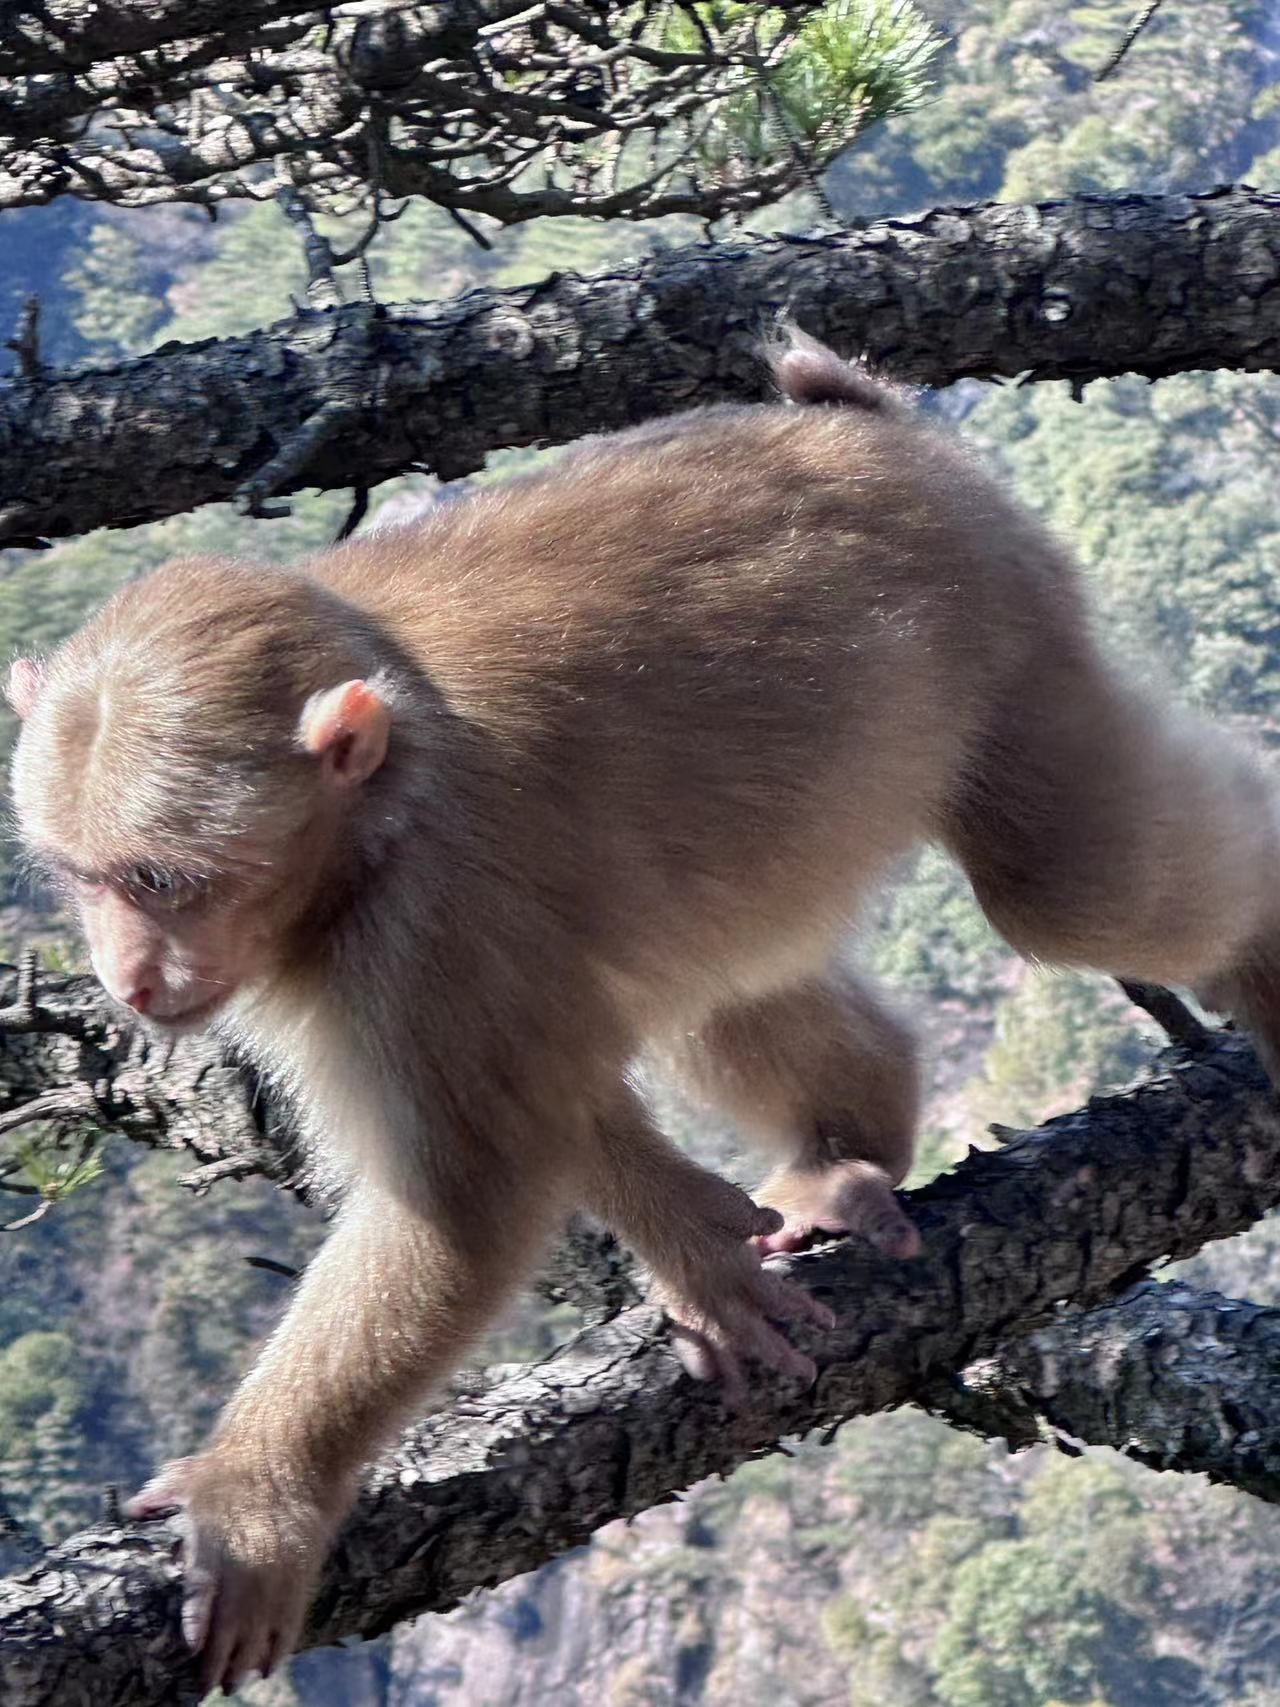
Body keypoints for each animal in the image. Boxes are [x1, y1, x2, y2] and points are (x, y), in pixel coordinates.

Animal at [8, 328, 1280, 1692]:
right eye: (81, 876)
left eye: (162, 881)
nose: (131, 980)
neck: (368, 815)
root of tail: (858, 425)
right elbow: (559, 1098)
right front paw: (692, 1244)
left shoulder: (430, 919)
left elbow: (468, 1196)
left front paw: (260, 1495)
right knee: (704, 978)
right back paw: (849, 1143)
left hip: (1006, 617)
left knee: (1061, 880)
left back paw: (1256, 954)